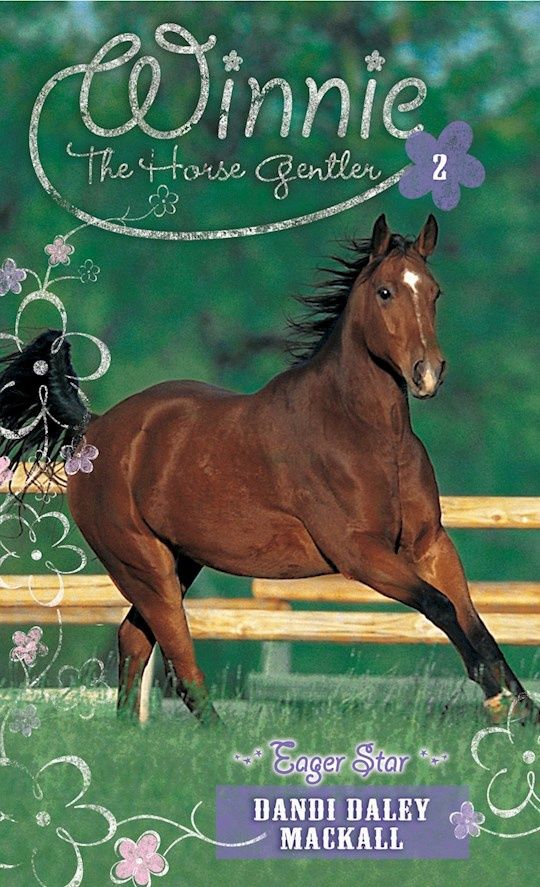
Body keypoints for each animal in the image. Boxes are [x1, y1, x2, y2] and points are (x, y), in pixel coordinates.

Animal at [0, 214, 534, 724]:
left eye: (434, 291)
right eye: (386, 292)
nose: (427, 374)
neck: (369, 436)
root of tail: (95, 428)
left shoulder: (430, 544)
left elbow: (474, 622)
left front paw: (524, 709)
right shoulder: (360, 554)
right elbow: (440, 608)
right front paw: (498, 701)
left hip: (179, 560)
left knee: (134, 638)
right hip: (142, 565)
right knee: (179, 657)